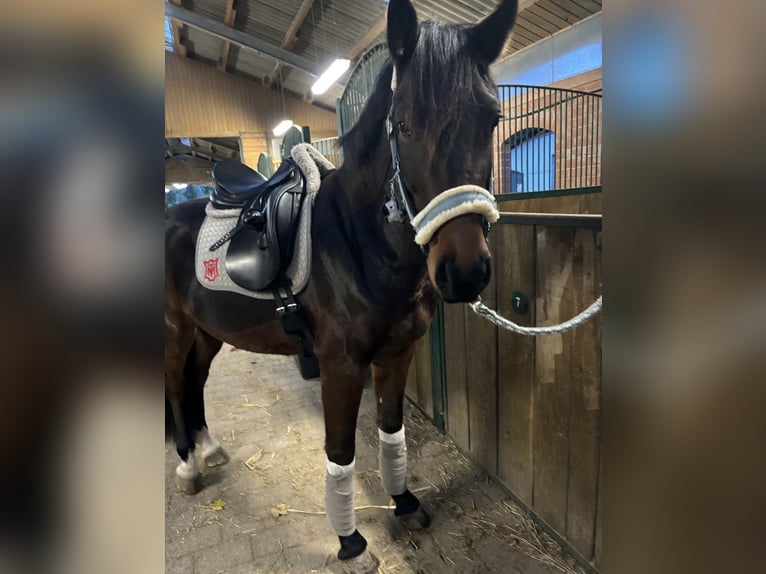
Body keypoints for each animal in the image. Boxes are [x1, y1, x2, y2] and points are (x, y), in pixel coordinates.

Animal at [165, 0, 519, 562]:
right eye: (404, 124)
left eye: (493, 119)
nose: (464, 271)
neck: (359, 245)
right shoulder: (341, 365)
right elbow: (341, 451)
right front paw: (350, 539)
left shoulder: (397, 353)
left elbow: (391, 433)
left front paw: (405, 503)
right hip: (176, 330)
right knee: (177, 386)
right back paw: (186, 465)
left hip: (207, 332)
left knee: (195, 383)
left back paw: (208, 450)